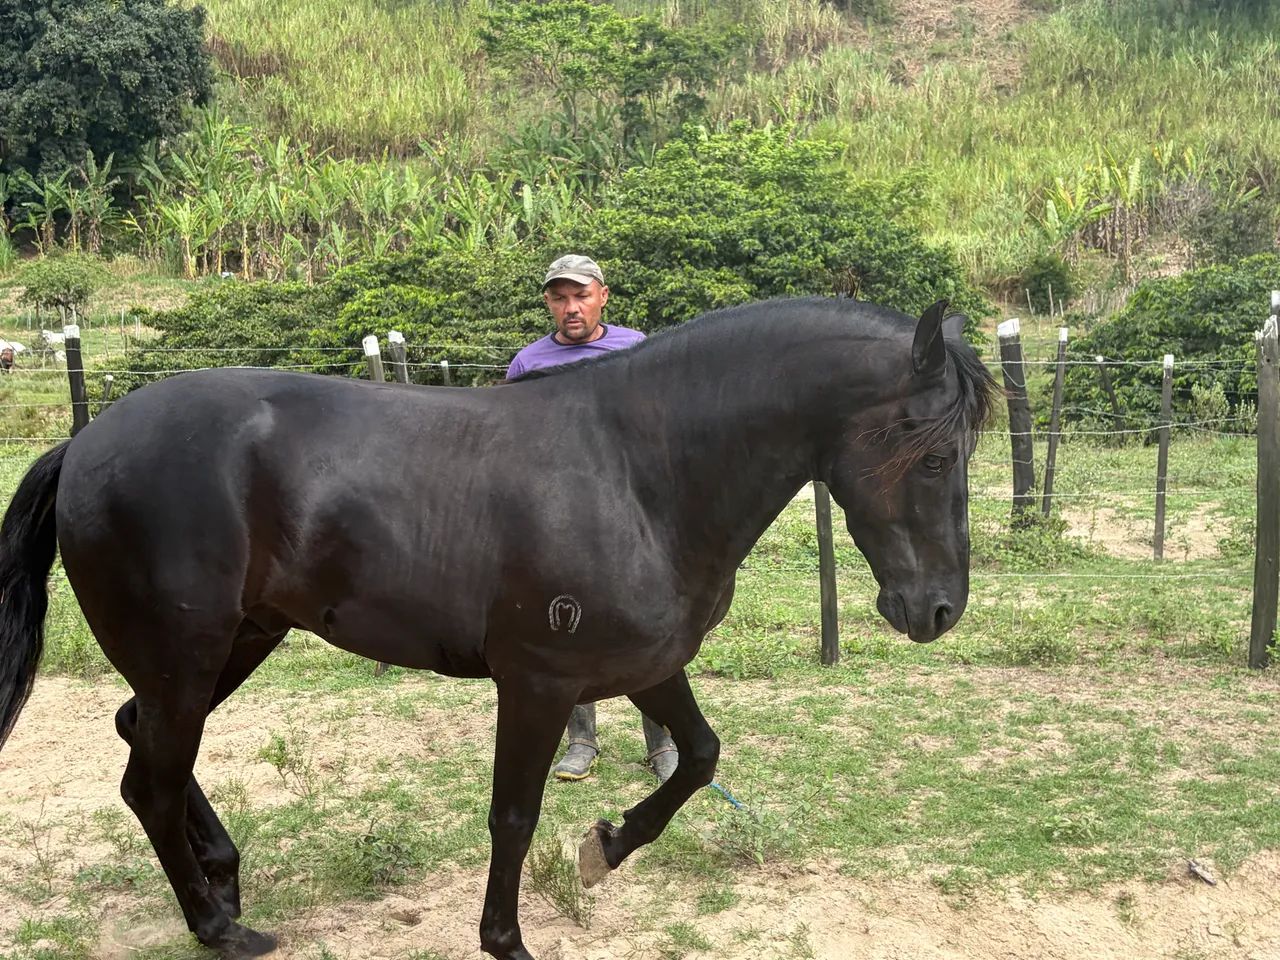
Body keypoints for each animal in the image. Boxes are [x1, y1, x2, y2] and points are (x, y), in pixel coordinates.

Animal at [0, 296, 996, 960]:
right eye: (933, 454)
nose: (938, 610)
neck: (638, 471)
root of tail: (87, 442)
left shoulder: (644, 666)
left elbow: (701, 756)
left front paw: (607, 847)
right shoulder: (539, 683)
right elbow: (513, 816)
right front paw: (507, 938)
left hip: (237, 643)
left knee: (143, 741)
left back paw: (225, 875)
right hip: (189, 656)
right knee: (150, 782)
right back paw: (217, 925)